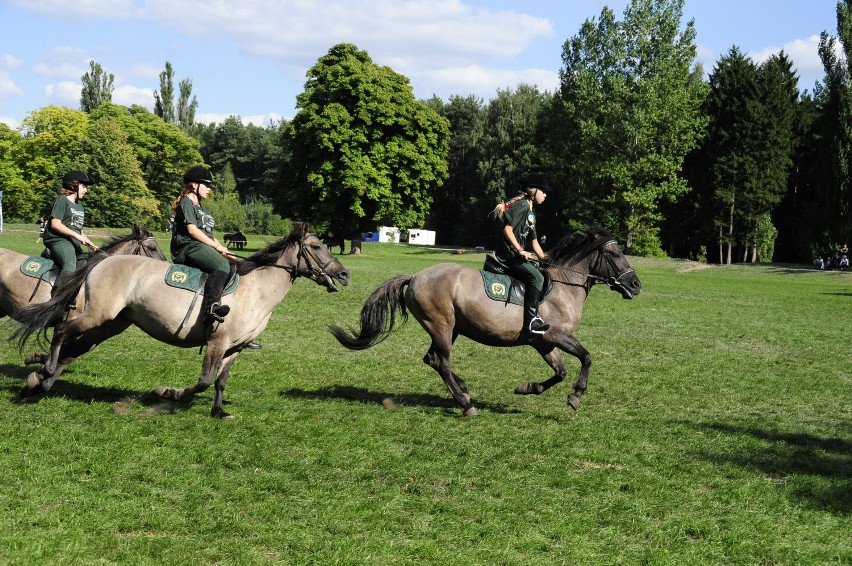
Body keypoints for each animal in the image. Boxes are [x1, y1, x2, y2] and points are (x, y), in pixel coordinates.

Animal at [13, 224, 348, 420]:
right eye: (316, 247)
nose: (344, 274)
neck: (257, 290)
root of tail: (104, 261)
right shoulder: (217, 342)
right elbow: (203, 381)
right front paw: (168, 394)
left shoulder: (235, 349)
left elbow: (220, 381)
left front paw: (219, 412)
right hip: (98, 316)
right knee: (62, 331)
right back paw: (45, 371)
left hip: (110, 325)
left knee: (73, 349)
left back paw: (39, 382)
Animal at [330, 226, 644, 418]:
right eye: (615, 254)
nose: (636, 285)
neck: (564, 286)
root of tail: (415, 276)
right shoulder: (556, 336)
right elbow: (587, 358)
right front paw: (576, 396)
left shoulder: (543, 342)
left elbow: (560, 372)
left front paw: (527, 388)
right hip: (441, 326)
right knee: (442, 363)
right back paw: (466, 404)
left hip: (450, 329)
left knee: (432, 360)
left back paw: (464, 390)